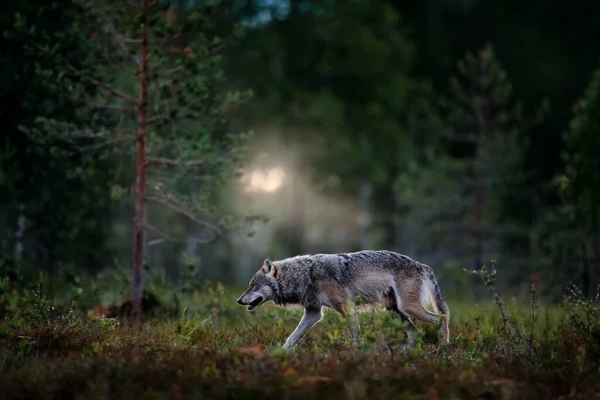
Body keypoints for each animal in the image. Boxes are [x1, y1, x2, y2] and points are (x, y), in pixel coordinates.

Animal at [236, 250, 450, 350]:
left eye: (253, 285)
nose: (239, 300)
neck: (306, 275)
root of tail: (421, 265)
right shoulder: (314, 313)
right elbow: (291, 338)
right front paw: (279, 355)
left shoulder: (346, 307)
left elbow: (356, 337)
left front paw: (360, 355)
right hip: (394, 310)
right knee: (416, 334)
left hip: (407, 308)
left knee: (441, 318)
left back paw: (443, 347)